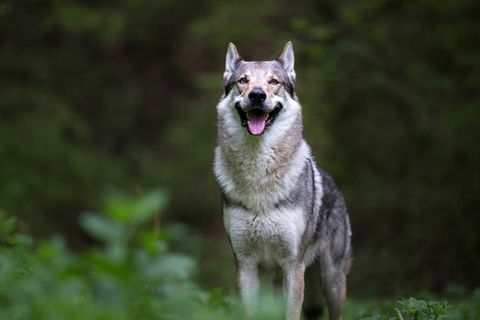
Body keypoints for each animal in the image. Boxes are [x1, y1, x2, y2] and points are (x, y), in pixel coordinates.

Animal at [214, 41, 352, 318]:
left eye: (274, 81)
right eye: (243, 81)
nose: (257, 95)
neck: (258, 175)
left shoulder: (293, 265)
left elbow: (292, 313)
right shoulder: (245, 264)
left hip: (331, 280)